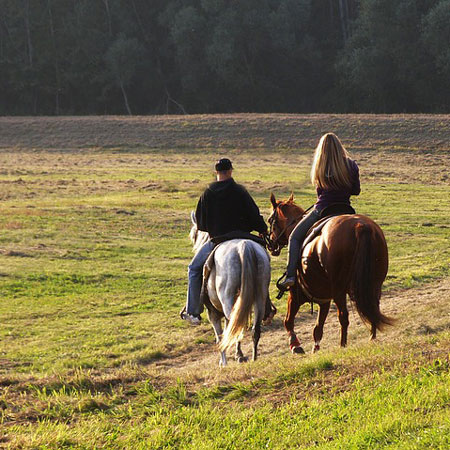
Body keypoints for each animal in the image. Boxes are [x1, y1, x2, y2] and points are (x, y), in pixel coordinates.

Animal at [268, 194, 392, 356]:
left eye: (270, 220)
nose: (270, 244)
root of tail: (361, 227)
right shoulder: (324, 300)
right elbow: (318, 328)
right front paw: (315, 349)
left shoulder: (295, 296)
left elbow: (288, 321)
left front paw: (296, 346)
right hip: (374, 285)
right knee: (373, 308)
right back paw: (372, 337)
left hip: (339, 290)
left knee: (343, 316)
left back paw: (343, 345)